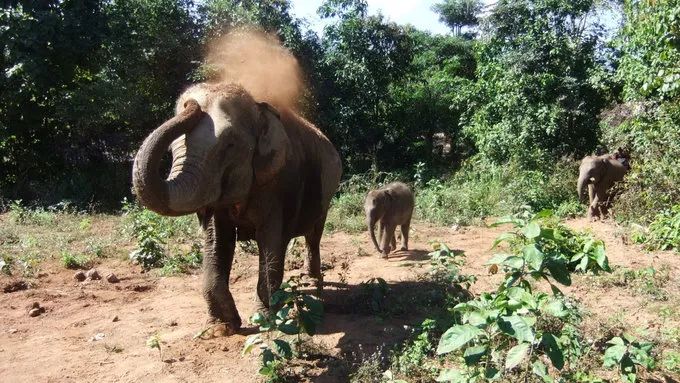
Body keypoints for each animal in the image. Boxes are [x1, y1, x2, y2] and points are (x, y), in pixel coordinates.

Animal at [132, 82, 342, 334]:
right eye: (173, 148)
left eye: (229, 145)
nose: (190, 104)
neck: (258, 108)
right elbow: (218, 242)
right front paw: (219, 329)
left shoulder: (279, 184)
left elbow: (270, 240)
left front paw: (265, 321)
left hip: (327, 194)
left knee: (314, 235)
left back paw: (313, 286)